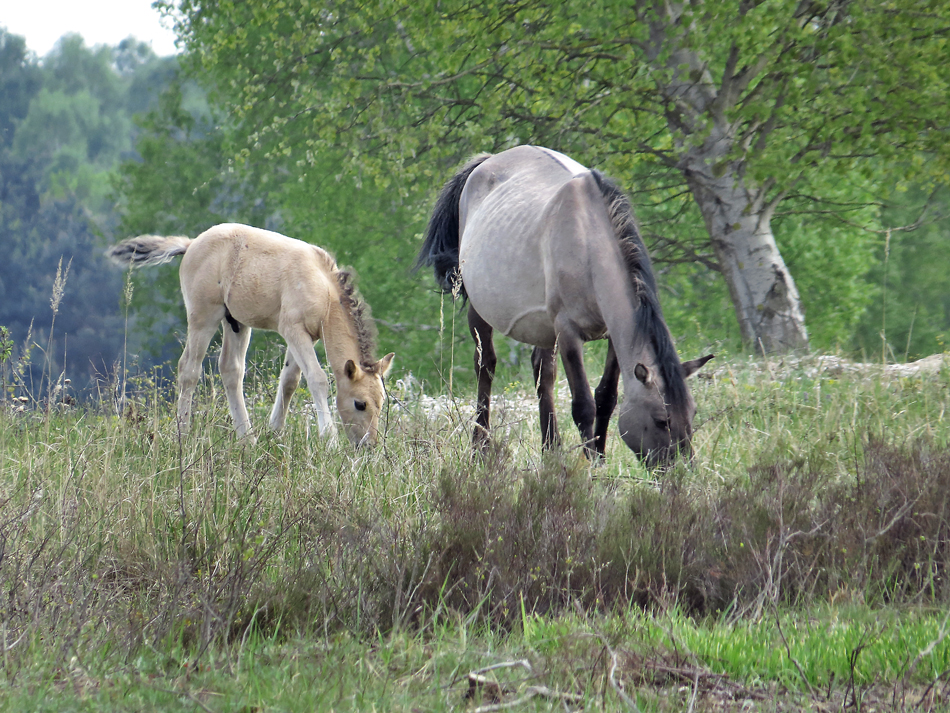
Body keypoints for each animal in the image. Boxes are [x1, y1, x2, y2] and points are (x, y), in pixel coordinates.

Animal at [418, 147, 712, 464]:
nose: (682, 469)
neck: (588, 243)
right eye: (661, 421)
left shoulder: (614, 335)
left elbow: (606, 397)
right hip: (481, 310)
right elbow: (583, 404)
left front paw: (598, 455)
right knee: (485, 367)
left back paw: (551, 451)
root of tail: (486, 160)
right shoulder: (568, 331)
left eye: (692, 414)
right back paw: (480, 448)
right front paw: (591, 464)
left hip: (542, 327)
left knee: (542, 374)